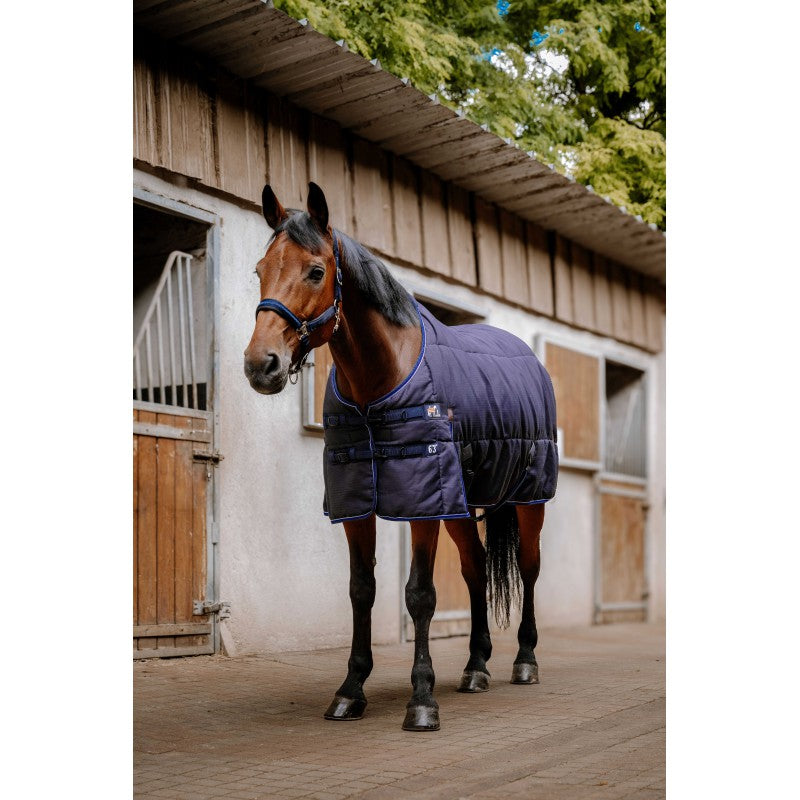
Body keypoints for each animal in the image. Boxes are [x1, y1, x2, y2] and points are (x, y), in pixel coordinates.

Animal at [244, 182, 558, 732]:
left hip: (528, 501)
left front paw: (422, 700)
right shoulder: (357, 502)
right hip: (459, 505)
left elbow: (420, 594)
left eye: (316, 271)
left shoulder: (421, 500)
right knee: (475, 569)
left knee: (529, 567)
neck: (380, 381)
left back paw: (524, 662)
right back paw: (475, 668)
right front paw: (350, 690)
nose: (261, 365)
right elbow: (361, 590)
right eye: (261, 270)